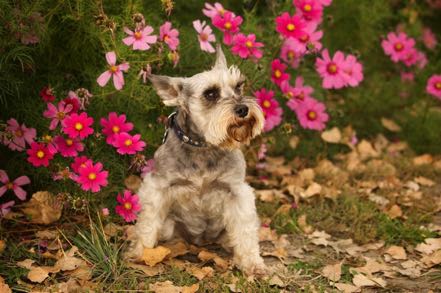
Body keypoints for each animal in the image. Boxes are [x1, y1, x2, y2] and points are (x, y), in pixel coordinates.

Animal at [125, 44, 266, 274]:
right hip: (169, 227)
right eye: (210, 93)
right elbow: (147, 222)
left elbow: (245, 230)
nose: (243, 109)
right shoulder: (157, 187)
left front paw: (252, 263)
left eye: (238, 87)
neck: (204, 146)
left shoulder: (237, 191)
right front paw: (140, 252)